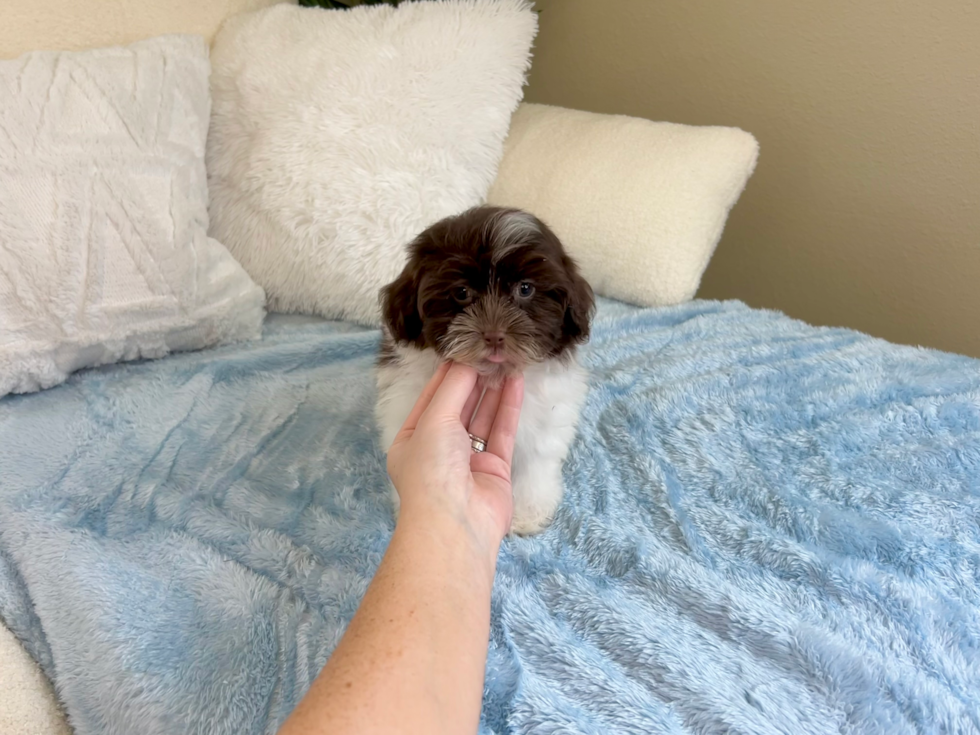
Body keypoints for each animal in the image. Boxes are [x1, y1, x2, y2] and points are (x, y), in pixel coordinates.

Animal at [376, 206, 592, 536]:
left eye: (525, 289)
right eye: (462, 292)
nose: (493, 335)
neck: (492, 377)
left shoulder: (548, 417)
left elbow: (537, 458)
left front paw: (528, 510)